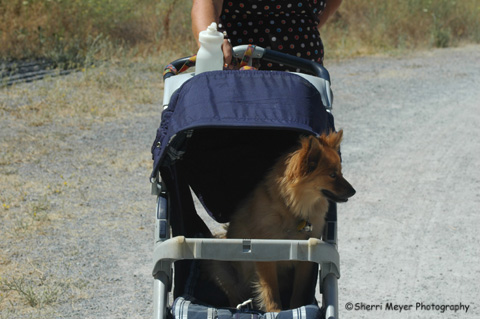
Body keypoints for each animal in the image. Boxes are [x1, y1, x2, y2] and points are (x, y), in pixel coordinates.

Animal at [204, 130, 354, 312]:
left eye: (340, 172)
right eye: (332, 175)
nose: (353, 191)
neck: (292, 211)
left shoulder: (305, 259)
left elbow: (299, 288)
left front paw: (297, 307)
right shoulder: (265, 256)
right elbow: (270, 289)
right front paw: (275, 311)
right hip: (219, 266)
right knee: (234, 295)